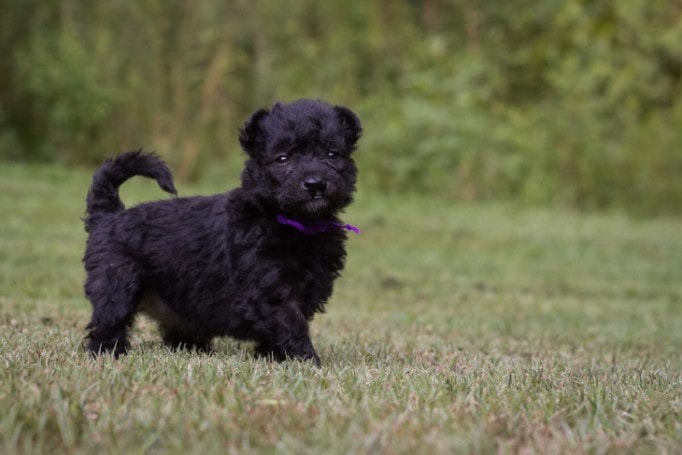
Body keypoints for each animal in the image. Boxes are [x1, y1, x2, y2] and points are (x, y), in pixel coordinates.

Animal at [82, 100, 362, 366]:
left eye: (333, 155)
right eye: (282, 158)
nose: (315, 184)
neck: (293, 223)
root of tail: (109, 215)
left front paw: (273, 357)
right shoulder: (271, 292)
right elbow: (292, 326)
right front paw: (308, 361)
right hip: (117, 283)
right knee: (107, 324)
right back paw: (107, 352)